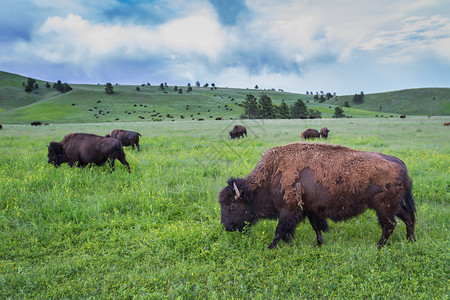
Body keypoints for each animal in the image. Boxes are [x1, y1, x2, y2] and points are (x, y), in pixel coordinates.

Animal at [218, 142, 414, 248]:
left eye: (231, 206)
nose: (225, 227)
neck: (273, 174)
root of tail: (401, 164)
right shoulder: (309, 209)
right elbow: (315, 227)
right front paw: (319, 244)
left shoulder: (289, 210)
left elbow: (280, 229)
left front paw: (271, 247)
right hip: (394, 206)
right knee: (408, 218)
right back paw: (410, 240)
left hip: (383, 208)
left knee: (390, 225)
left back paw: (378, 246)